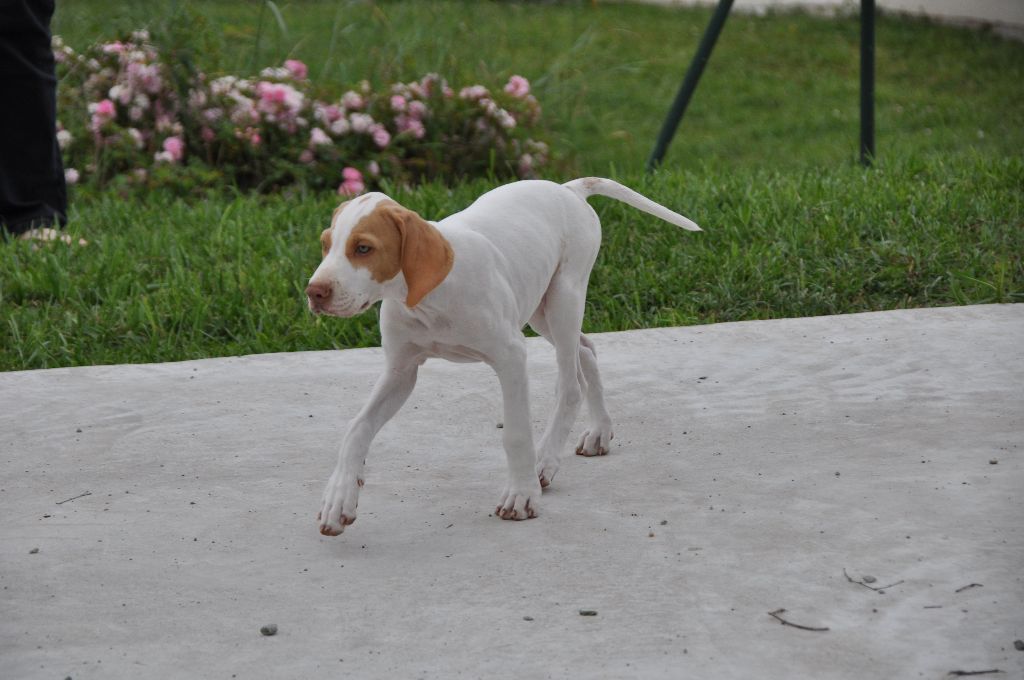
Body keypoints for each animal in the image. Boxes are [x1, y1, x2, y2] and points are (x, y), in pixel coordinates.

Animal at [307, 176, 700, 536]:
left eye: (363, 248)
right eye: (325, 245)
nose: (315, 292)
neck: (428, 299)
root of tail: (568, 187)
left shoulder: (511, 356)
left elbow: (515, 433)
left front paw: (521, 495)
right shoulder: (401, 371)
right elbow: (356, 428)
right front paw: (338, 499)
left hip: (564, 298)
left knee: (570, 384)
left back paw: (546, 461)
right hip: (540, 309)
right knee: (586, 350)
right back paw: (599, 432)